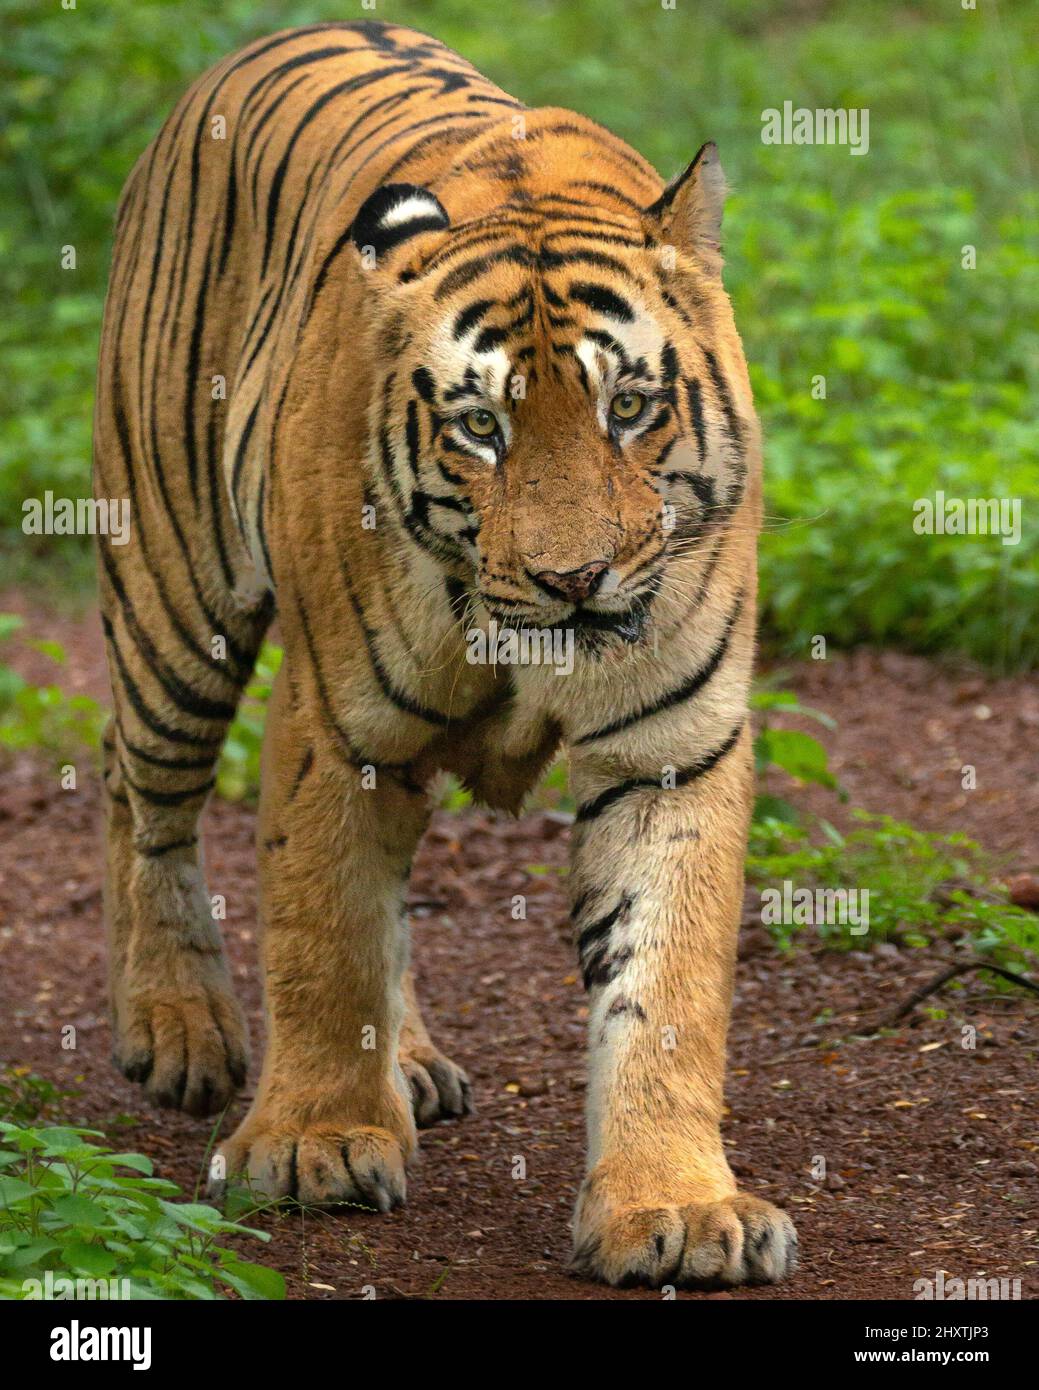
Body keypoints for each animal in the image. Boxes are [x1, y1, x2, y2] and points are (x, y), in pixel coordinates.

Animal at [95, 16, 795, 1284]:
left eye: (628, 408)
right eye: (481, 427)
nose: (576, 579)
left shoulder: (670, 745)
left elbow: (663, 982)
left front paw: (673, 1207)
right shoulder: (337, 723)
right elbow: (323, 933)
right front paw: (316, 1142)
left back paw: (408, 1061)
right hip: (174, 590)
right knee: (140, 794)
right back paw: (176, 1026)